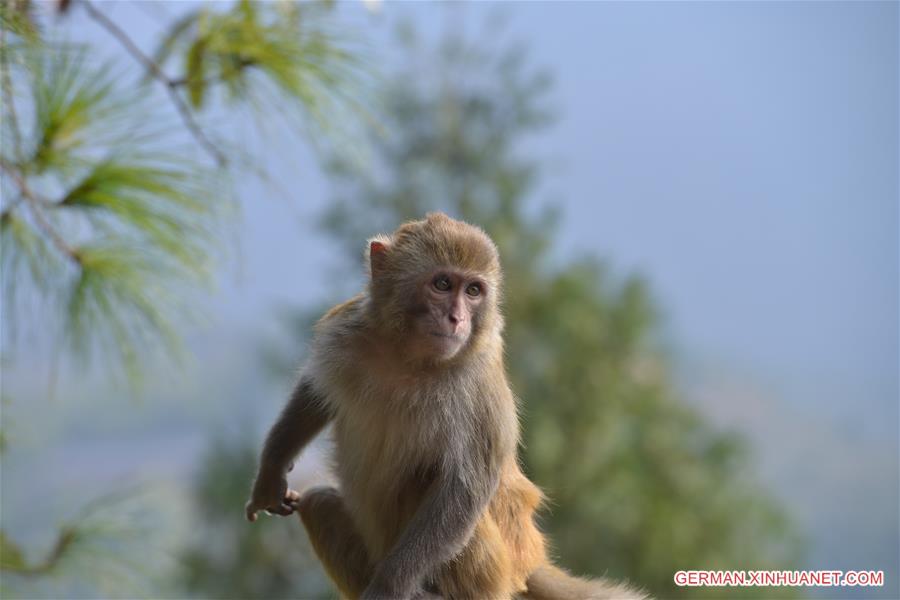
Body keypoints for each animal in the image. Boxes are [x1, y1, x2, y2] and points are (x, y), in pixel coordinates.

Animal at [243, 213, 644, 596]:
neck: (408, 356)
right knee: (319, 504)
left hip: (497, 573)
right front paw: (271, 473)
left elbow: (466, 486)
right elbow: (315, 393)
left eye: (473, 291)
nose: (457, 318)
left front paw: (389, 587)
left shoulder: (476, 383)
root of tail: (529, 563)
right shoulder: (347, 330)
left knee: (428, 485)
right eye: (442, 285)